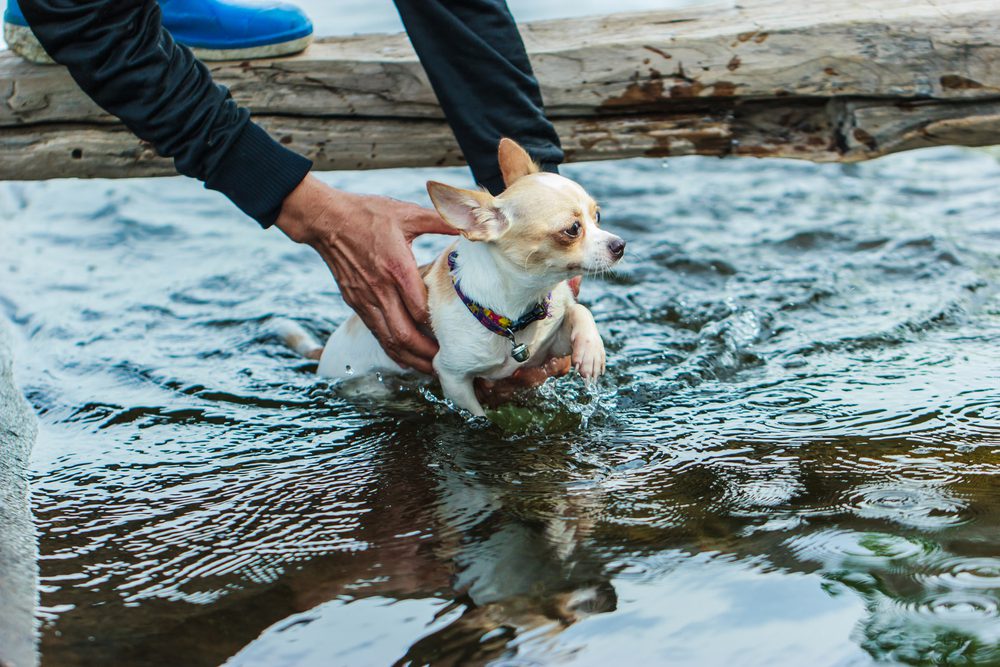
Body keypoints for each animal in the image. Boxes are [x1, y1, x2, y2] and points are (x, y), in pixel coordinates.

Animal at [280, 138, 624, 414]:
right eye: (573, 229)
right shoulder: (453, 378)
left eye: (597, 216)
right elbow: (476, 415)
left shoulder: (547, 350)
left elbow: (579, 311)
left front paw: (591, 351)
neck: (517, 311)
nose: (620, 245)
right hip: (369, 384)